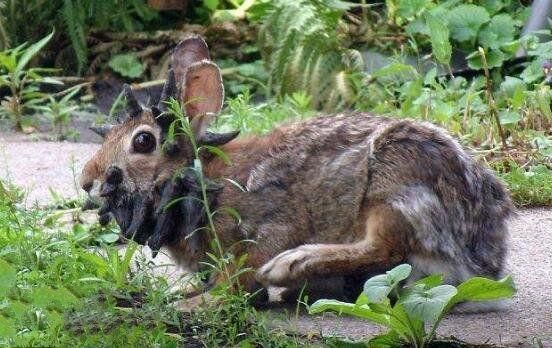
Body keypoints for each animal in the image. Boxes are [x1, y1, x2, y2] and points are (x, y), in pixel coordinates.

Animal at [80, 35, 516, 306]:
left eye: (143, 142)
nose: (87, 181)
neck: (201, 178)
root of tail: (482, 260)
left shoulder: (266, 226)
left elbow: (240, 278)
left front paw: (196, 304)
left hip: (393, 184)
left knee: (385, 247)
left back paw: (291, 266)